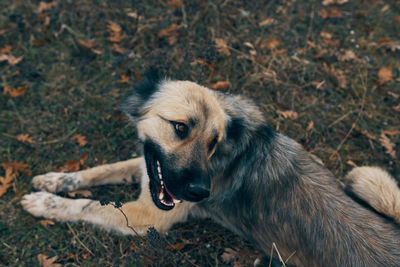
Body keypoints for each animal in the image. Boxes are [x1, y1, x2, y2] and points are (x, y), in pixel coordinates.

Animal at [22, 70, 400, 266]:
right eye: (179, 128)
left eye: (213, 143)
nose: (200, 192)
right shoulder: (148, 169)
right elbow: (100, 170)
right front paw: (56, 179)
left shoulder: (147, 216)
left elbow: (87, 205)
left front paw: (45, 203)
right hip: (363, 176)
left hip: (365, 176)